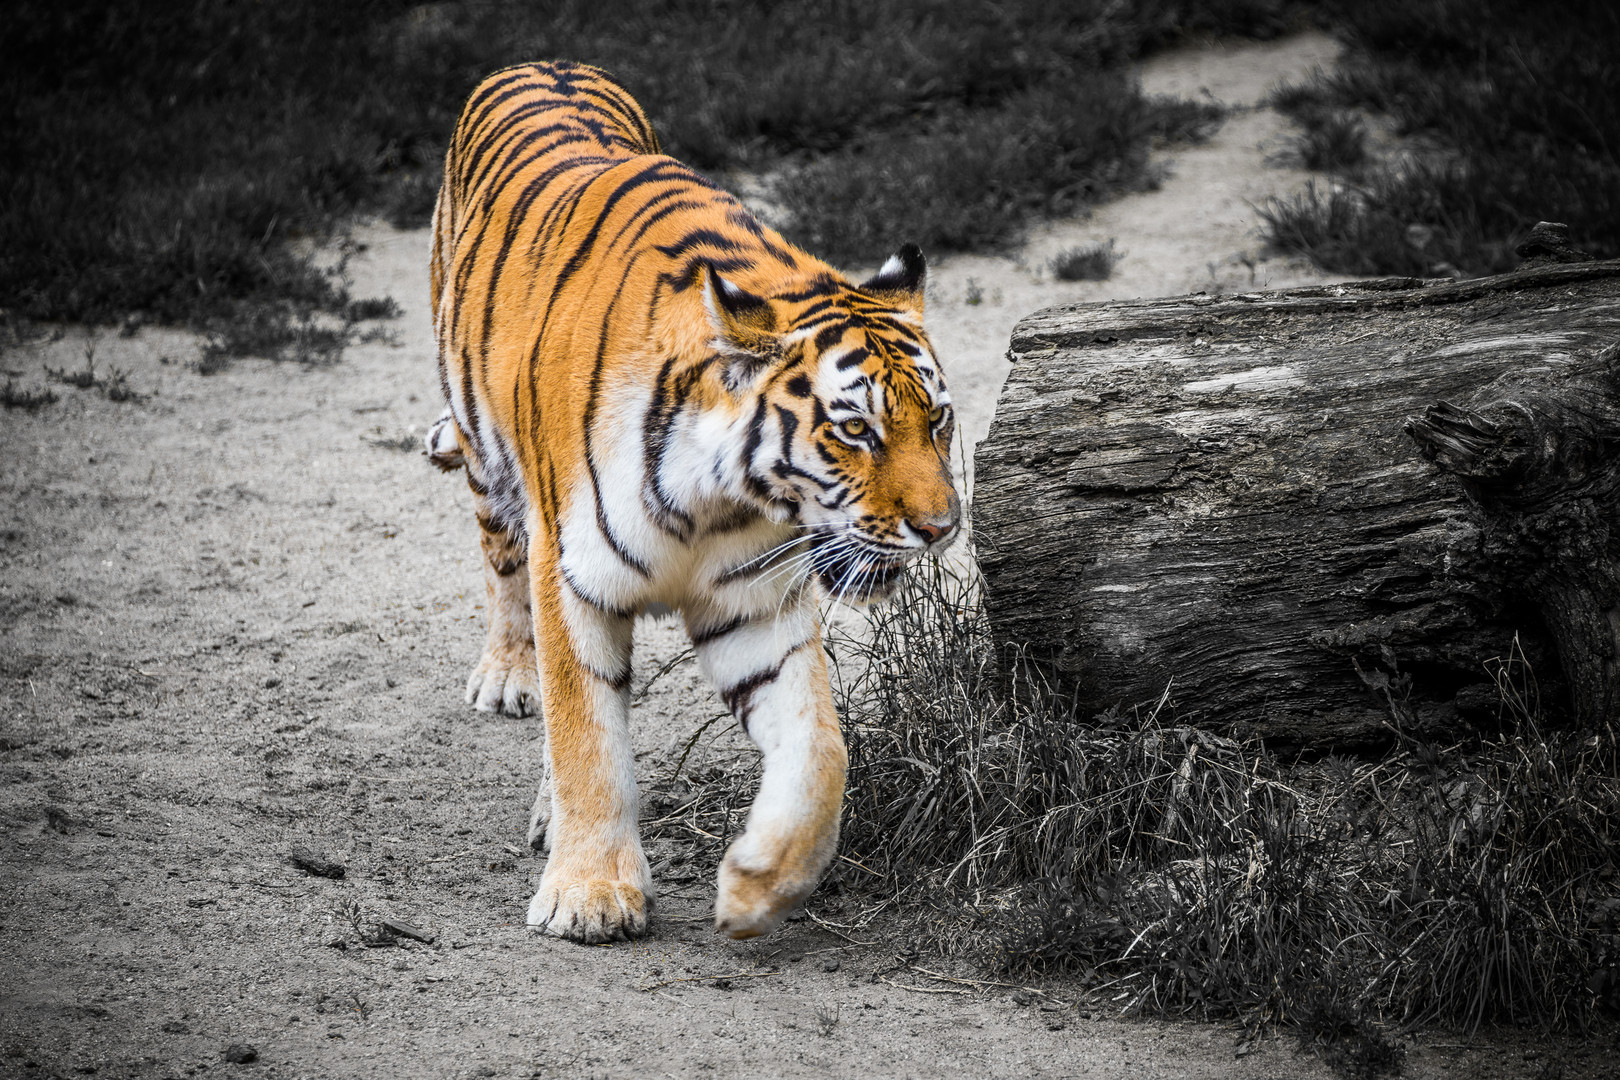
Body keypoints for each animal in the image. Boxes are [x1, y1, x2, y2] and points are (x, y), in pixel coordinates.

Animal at [427, 59, 959, 939]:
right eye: (855, 430)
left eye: (939, 420)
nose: (942, 527)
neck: (718, 498)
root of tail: (540, 61)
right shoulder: (569, 578)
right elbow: (587, 739)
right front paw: (590, 895)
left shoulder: (753, 606)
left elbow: (821, 751)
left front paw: (759, 888)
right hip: (489, 467)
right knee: (503, 574)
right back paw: (508, 678)